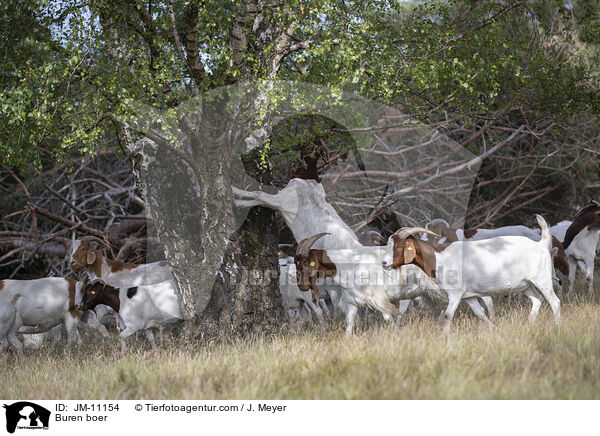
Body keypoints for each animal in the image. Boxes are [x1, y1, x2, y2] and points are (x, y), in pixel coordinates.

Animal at [382, 215, 560, 330]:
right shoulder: (469, 296)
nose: (384, 263)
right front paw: (493, 328)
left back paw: (557, 327)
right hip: (526, 284)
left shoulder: (455, 294)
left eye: (399, 247)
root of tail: (541, 244)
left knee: (555, 302)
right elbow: (479, 313)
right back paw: (529, 324)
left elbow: (448, 315)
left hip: (542, 279)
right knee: (537, 300)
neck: (439, 257)